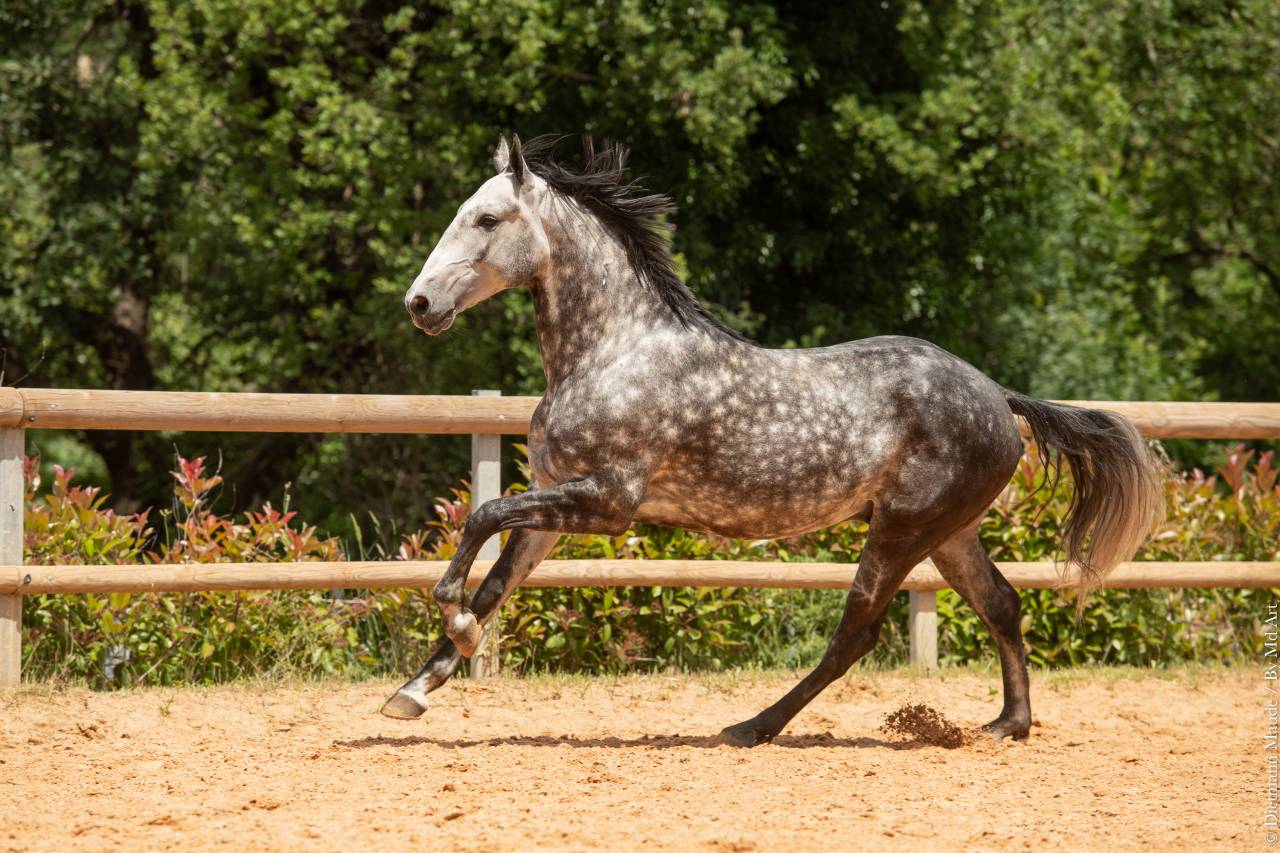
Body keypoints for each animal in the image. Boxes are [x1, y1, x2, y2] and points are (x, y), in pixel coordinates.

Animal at [381, 134, 1164, 747]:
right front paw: (413, 690)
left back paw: (751, 727)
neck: (612, 352)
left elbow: (480, 521)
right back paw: (1007, 724)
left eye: (486, 217)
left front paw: (452, 622)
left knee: (856, 634)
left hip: (901, 529)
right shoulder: (556, 507)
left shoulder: (606, 503)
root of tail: (998, 396)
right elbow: (496, 583)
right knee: (1001, 604)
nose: (419, 303)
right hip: (950, 532)